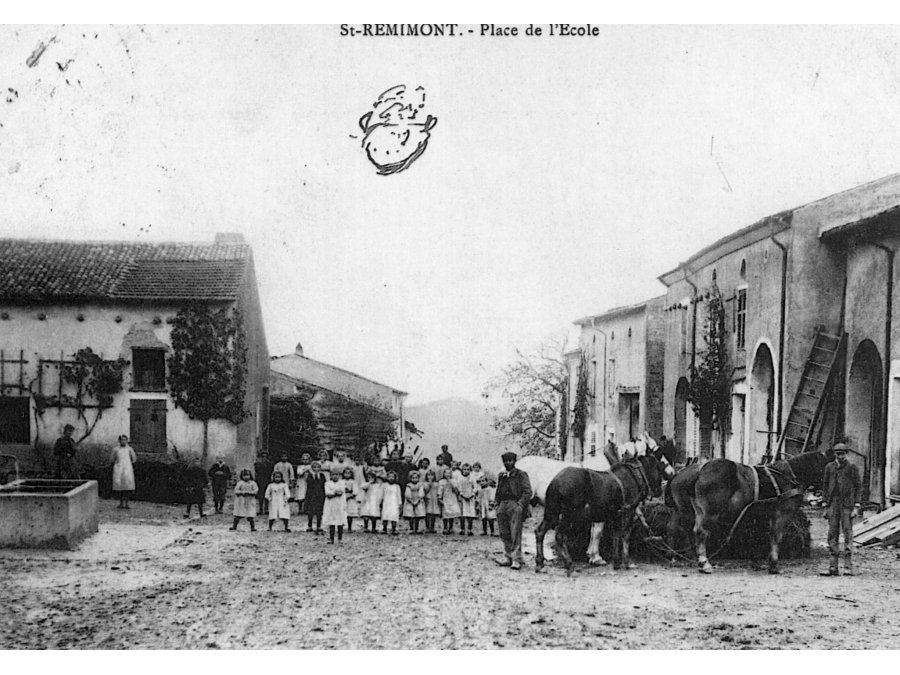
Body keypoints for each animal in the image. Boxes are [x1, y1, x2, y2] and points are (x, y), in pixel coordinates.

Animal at [536, 454, 668, 576]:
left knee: (540, 532)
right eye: (658, 466)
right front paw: (627, 562)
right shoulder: (628, 511)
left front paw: (616, 562)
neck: (636, 476)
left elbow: (616, 536)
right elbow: (625, 536)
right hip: (570, 514)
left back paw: (540, 564)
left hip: (552, 513)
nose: (660, 490)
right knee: (560, 536)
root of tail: (555, 481)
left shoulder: (616, 514)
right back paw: (569, 565)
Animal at [688, 452, 828, 572]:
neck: (789, 476)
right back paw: (704, 563)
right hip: (711, 513)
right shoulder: (782, 514)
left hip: (700, 512)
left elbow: (766, 536)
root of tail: (700, 471)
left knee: (696, 531)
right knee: (701, 532)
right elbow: (777, 537)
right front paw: (773, 565)